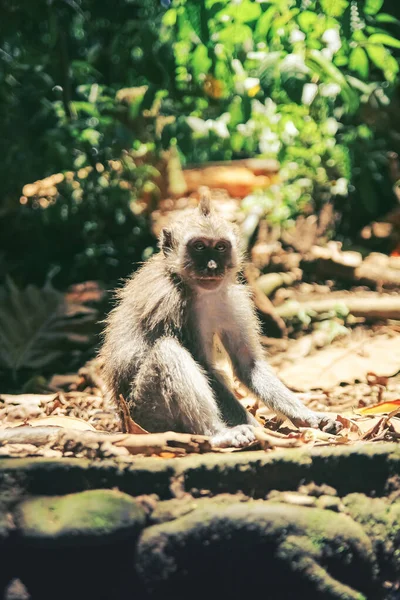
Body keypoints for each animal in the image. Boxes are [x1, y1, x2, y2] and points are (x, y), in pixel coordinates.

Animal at [98, 191, 340, 446]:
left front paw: (309, 418)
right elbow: (204, 366)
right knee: (168, 352)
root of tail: (124, 419)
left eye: (220, 247)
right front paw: (260, 429)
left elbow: (247, 364)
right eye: (199, 246)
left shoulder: (235, 301)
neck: (197, 290)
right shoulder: (169, 303)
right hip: (146, 414)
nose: (212, 266)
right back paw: (217, 434)